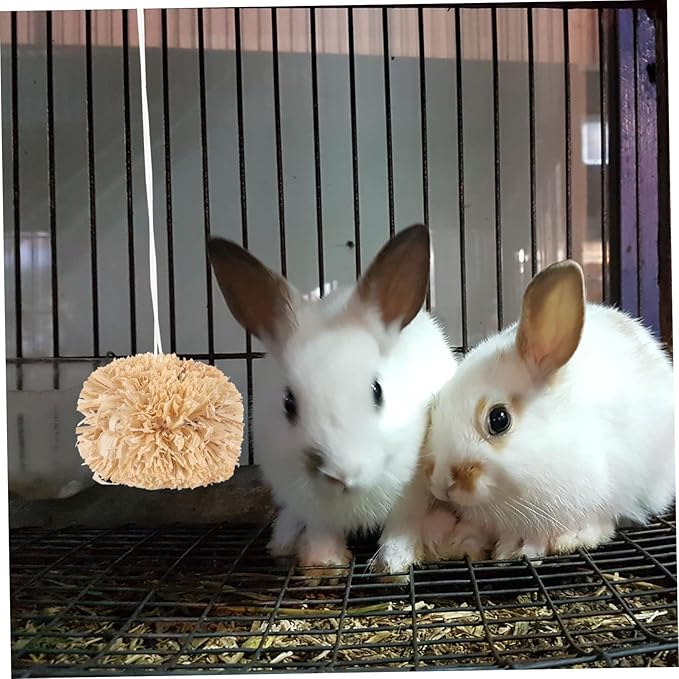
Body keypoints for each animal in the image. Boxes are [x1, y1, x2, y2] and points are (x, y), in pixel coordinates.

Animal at [208, 224, 458, 578]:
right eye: (288, 403)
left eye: (377, 391)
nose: (341, 473)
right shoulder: (309, 503)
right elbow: (321, 530)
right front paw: (323, 564)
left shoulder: (411, 494)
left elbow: (401, 527)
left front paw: (394, 563)